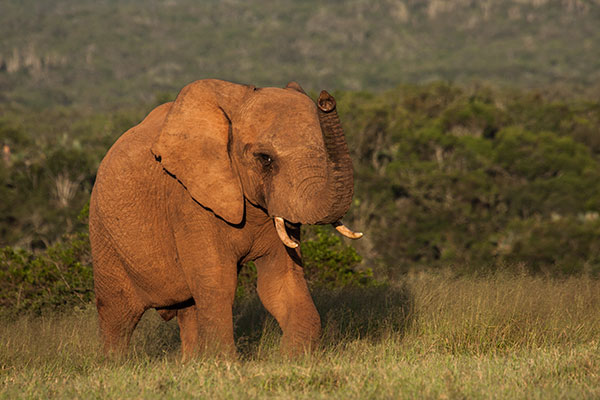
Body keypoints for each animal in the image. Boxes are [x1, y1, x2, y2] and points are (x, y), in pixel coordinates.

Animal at [88, 76, 360, 358]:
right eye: (265, 159)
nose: (326, 100)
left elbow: (281, 281)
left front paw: (290, 358)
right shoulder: (189, 199)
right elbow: (218, 280)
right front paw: (225, 363)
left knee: (188, 309)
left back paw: (190, 363)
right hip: (103, 233)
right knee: (117, 313)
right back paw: (116, 363)